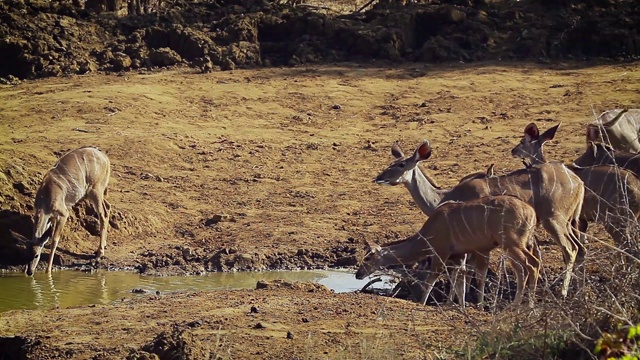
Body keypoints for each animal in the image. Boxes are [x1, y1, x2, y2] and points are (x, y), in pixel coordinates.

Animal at [26, 146, 112, 276]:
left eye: (36, 255)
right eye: (26, 255)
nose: (29, 272)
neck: (45, 196)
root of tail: (105, 158)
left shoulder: (63, 213)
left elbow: (54, 239)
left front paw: (48, 271)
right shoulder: (51, 217)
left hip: (95, 190)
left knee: (103, 214)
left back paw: (99, 255)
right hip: (92, 193)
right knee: (107, 206)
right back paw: (102, 247)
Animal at [356, 195, 540, 308]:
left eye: (368, 258)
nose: (358, 275)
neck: (429, 232)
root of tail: (531, 212)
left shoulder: (441, 253)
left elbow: (432, 279)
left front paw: (422, 302)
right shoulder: (458, 256)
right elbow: (458, 279)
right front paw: (456, 305)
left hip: (512, 244)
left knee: (532, 264)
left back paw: (528, 306)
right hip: (517, 245)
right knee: (523, 268)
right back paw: (516, 305)